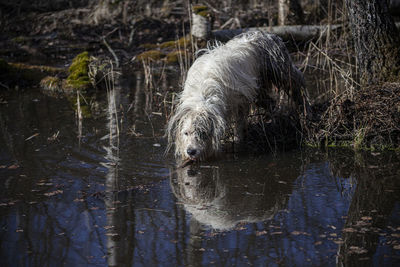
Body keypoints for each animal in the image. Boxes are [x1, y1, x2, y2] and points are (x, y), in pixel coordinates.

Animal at [167, 31, 308, 161]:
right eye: (186, 133)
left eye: (202, 132)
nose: (191, 151)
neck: (202, 94)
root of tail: (267, 34)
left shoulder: (240, 101)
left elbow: (239, 124)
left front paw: (237, 140)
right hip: (259, 91)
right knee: (271, 103)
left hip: (282, 72)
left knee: (299, 85)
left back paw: (306, 112)